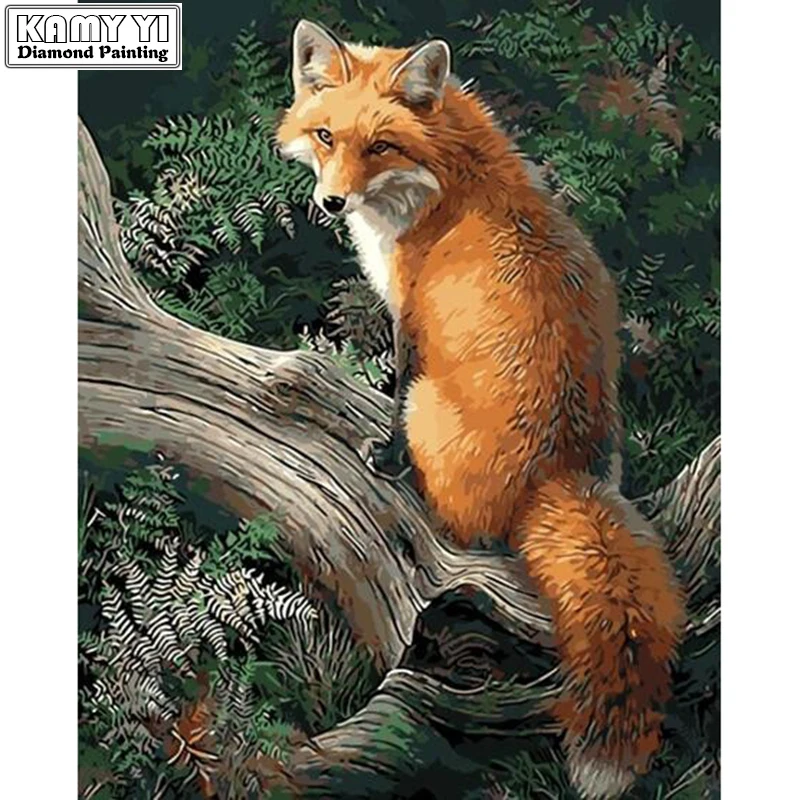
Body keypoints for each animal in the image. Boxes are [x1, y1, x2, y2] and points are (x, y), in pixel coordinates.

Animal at [276, 19, 686, 800]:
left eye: (380, 145)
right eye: (325, 136)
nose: (332, 204)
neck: (449, 177)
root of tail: (558, 476)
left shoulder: (409, 317)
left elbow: (394, 390)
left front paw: (384, 457)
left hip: (433, 410)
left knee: (458, 522)